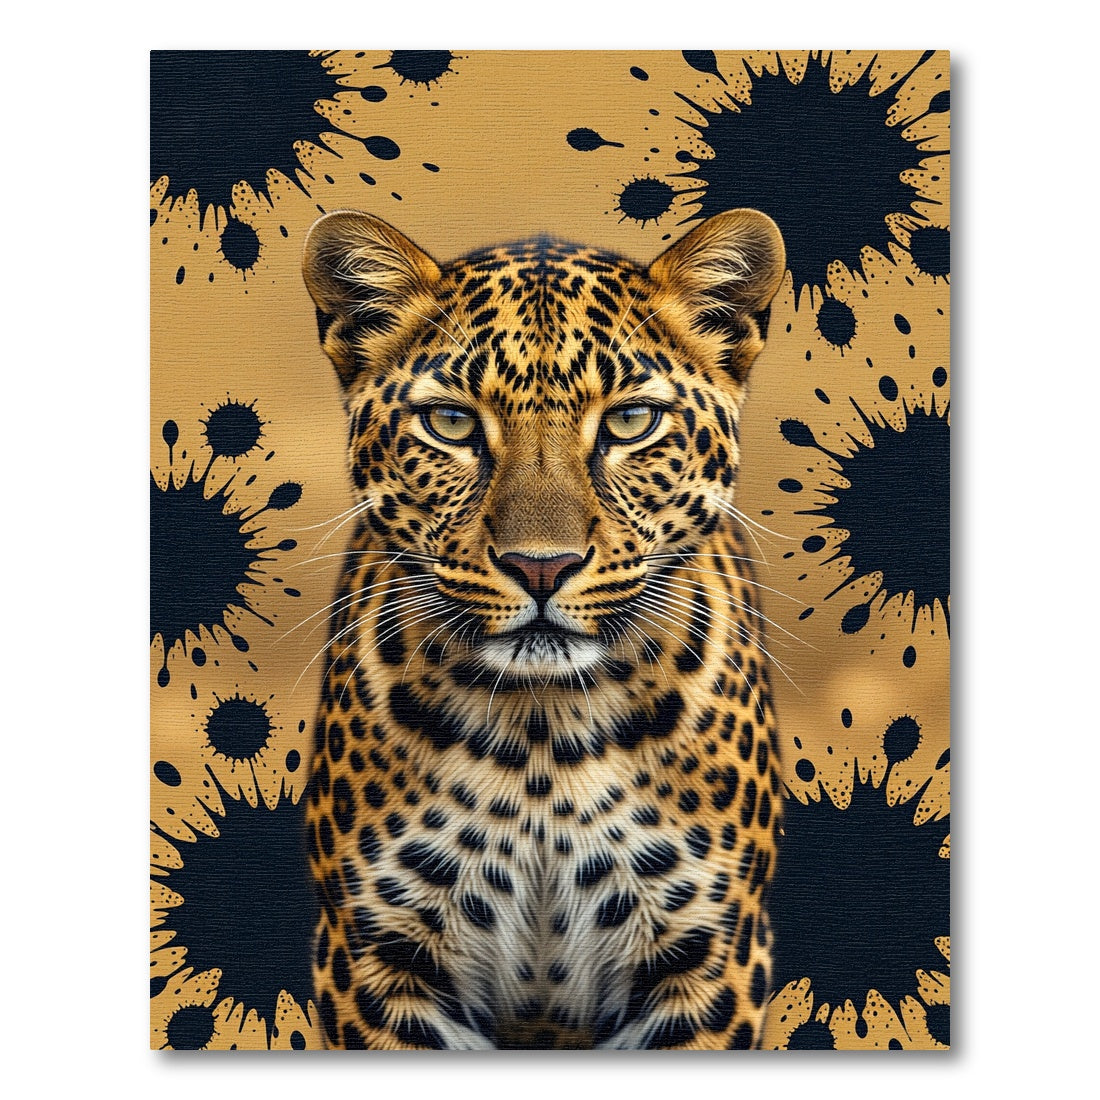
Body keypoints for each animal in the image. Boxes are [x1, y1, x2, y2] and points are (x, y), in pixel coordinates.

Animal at [300, 206, 786, 1049]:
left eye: (630, 420)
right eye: (451, 423)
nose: (540, 567)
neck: (541, 741)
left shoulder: (709, 957)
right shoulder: (375, 958)